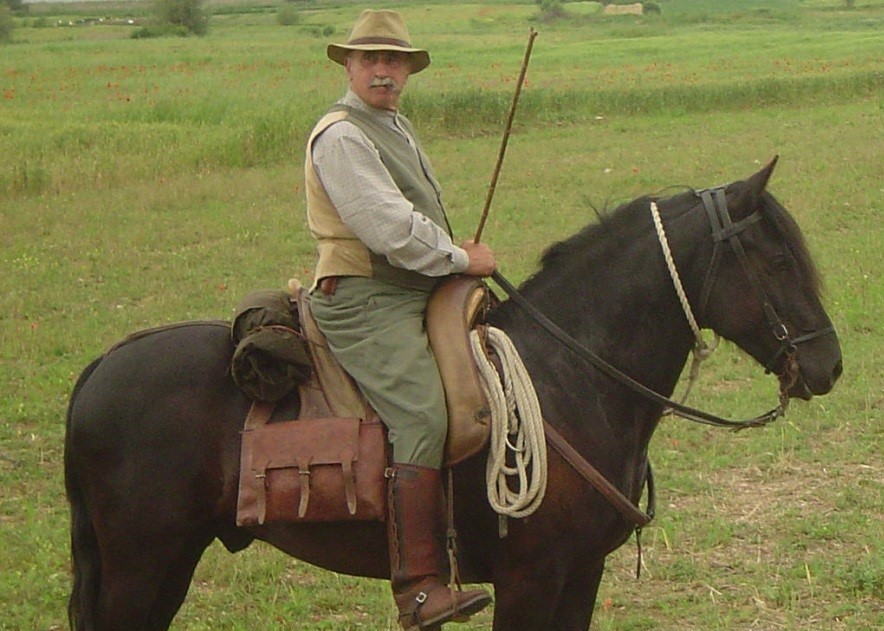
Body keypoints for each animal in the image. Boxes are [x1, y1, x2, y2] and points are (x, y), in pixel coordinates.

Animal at [64, 159, 842, 630]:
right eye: (776, 259)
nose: (828, 364)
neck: (570, 375)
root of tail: (103, 364)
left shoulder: (582, 573)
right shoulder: (531, 579)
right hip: (144, 565)